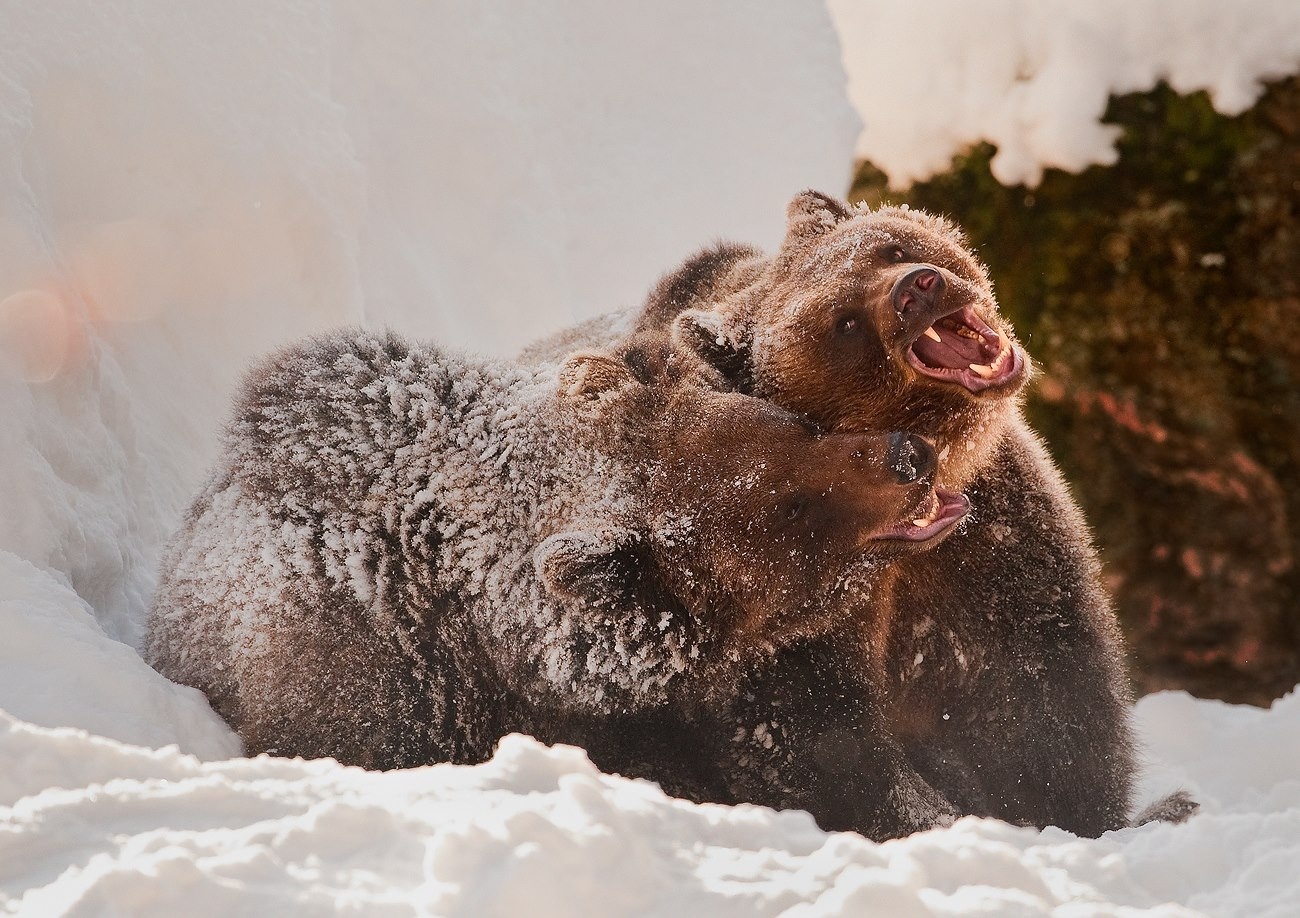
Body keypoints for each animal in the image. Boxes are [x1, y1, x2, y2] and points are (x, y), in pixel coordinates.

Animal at [522, 191, 1152, 837]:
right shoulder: (785, 591)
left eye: (890, 247)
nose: (916, 289)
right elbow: (819, 734)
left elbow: (1043, 694)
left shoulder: (994, 538)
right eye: (844, 324)